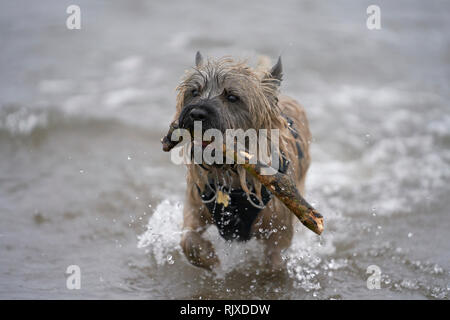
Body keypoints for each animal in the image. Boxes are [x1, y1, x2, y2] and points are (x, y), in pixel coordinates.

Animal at [167, 52, 312, 270]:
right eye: (194, 91)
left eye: (232, 97)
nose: (196, 113)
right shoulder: (195, 206)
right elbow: (189, 240)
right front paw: (211, 259)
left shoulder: (278, 232)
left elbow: (275, 260)